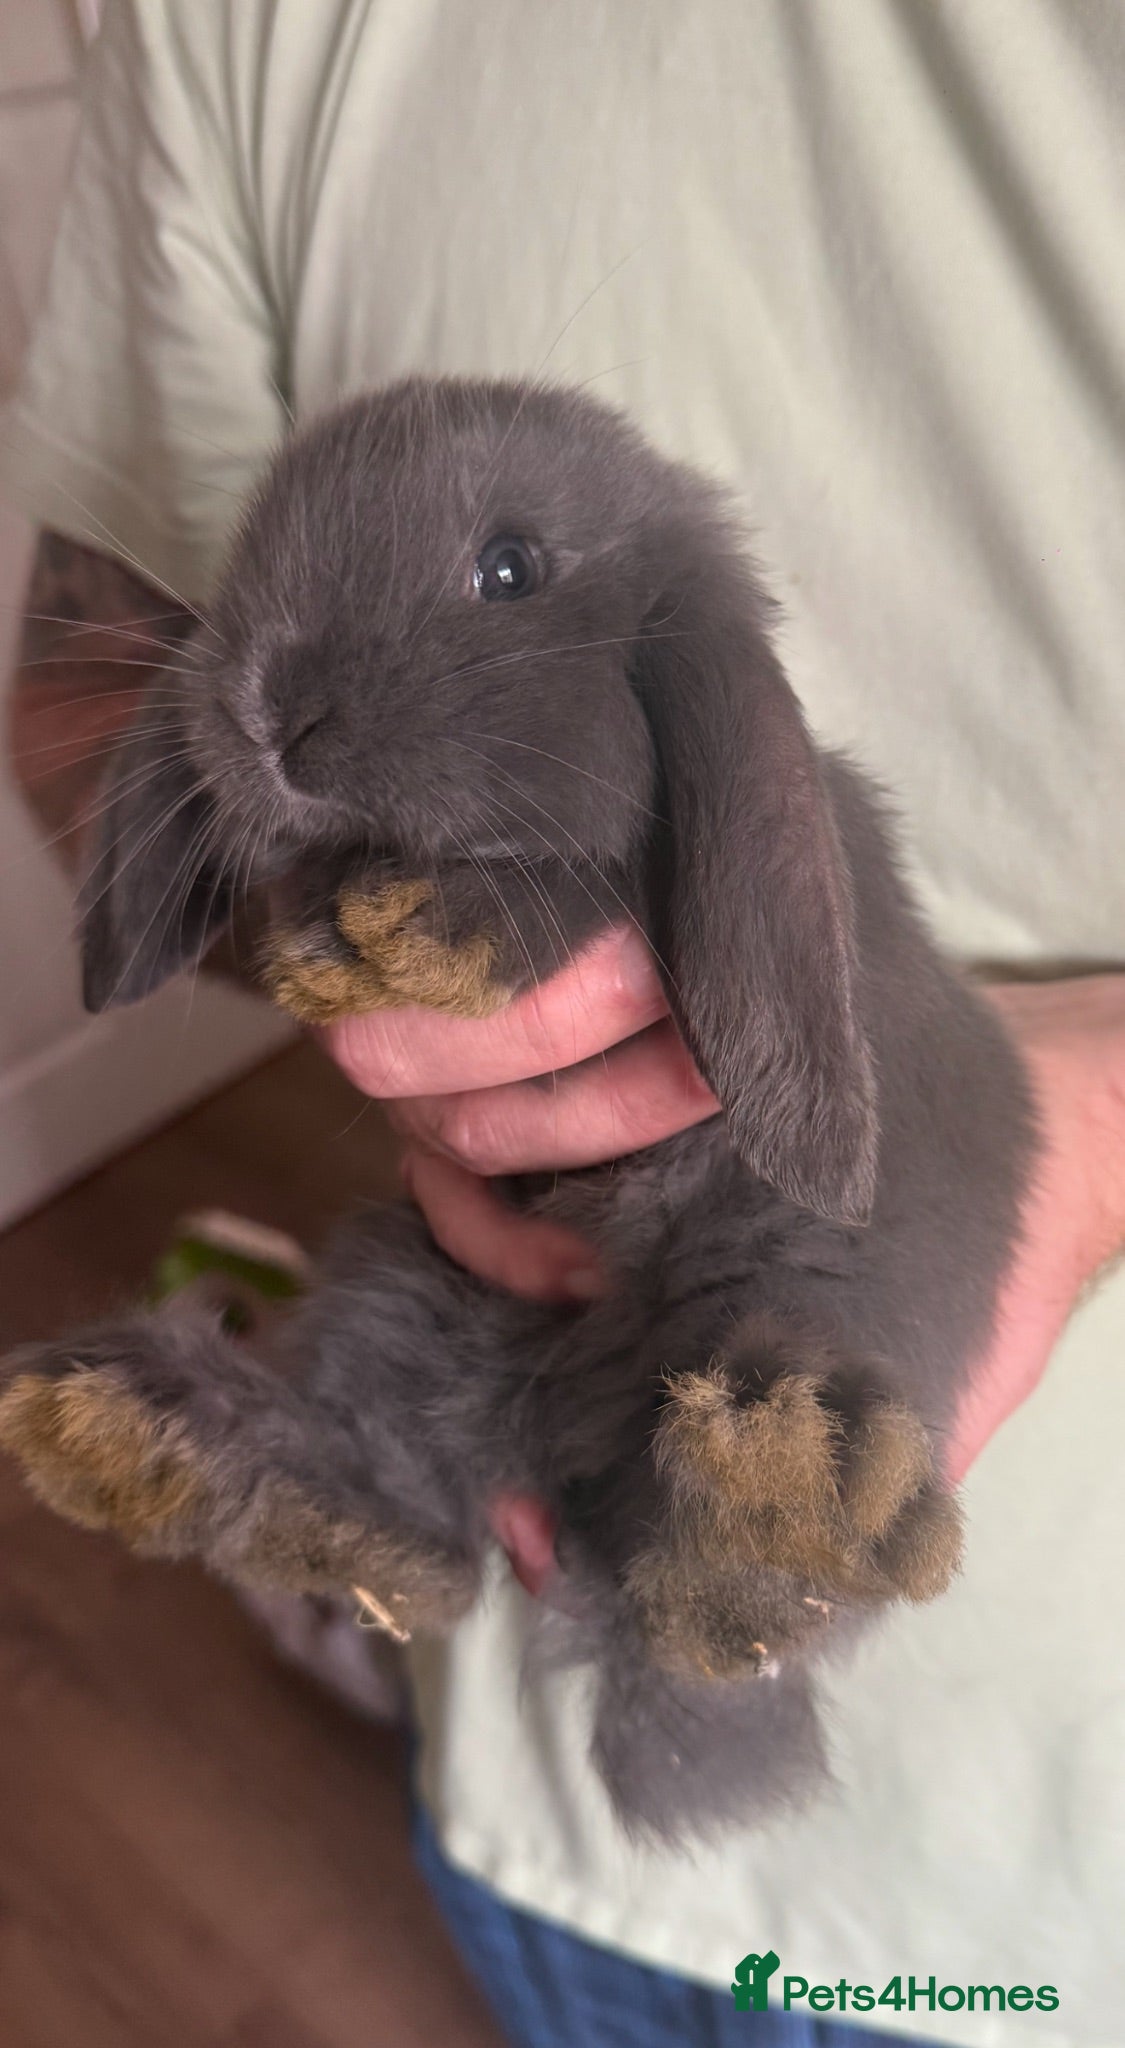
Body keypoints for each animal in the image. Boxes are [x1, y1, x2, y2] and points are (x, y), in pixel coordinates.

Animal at [0, 378, 1036, 1840]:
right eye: (250, 551)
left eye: (509, 571)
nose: (268, 710)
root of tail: (559, 1451)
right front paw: (325, 932)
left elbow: (587, 884)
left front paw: (411, 931)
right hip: (405, 1280)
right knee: (421, 1531)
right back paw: (158, 1441)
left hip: (800, 1297)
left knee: (720, 1595)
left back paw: (771, 1519)